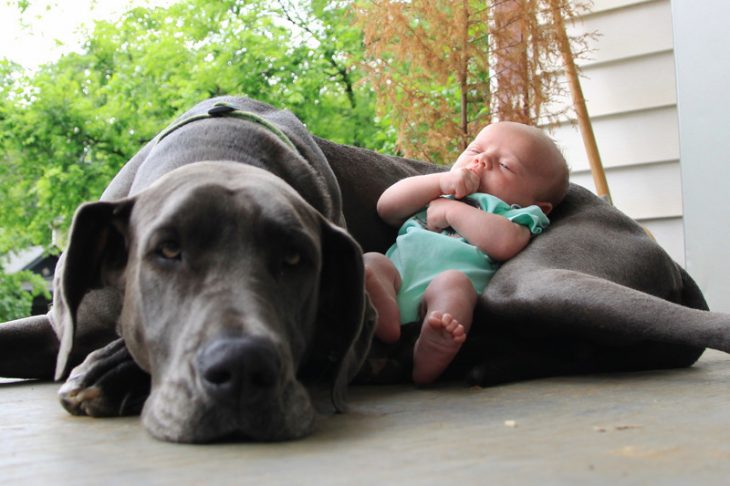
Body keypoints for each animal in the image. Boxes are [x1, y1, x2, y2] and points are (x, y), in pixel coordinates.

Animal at [1, 96, 728, 444]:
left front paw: (111, 372)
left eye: (296, 263)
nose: (243, 368)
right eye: (167, 253)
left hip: (535, 280)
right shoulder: (59, 324)